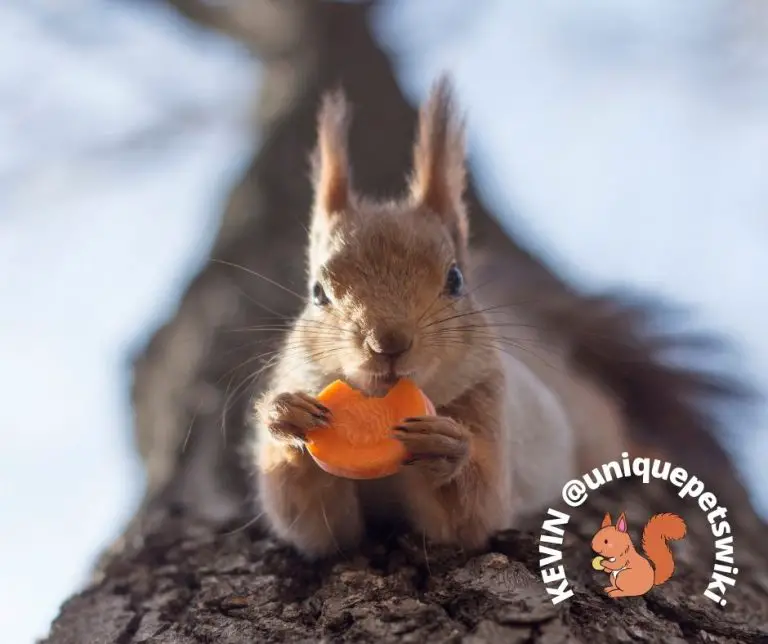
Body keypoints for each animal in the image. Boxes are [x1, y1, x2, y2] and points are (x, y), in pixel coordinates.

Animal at [250, 76, 634, 558]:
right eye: (317, 292)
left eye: (455, 279)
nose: (387, 343)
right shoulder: (325, 526)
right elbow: (313, 523)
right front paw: (286, 417)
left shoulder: (488, 401)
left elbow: (472, 516)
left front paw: (447, 447)